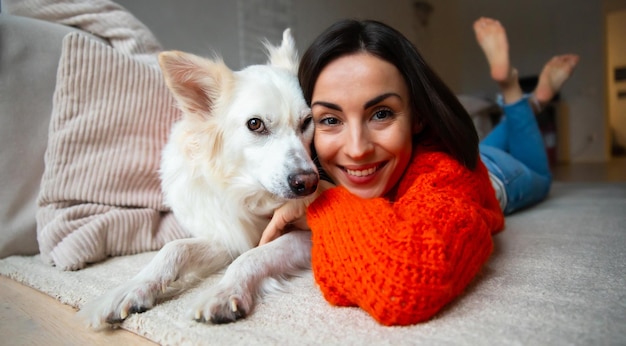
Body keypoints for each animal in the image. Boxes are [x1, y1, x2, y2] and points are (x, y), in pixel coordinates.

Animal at [79, 29, 316, 328]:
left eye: (308, 121)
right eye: (255, 124)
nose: (308, 183)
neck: (248, 195)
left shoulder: (308, 236)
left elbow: (252, 256)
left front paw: (224, 292)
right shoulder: (226, 235)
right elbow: (174, 248)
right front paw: (131, 288)